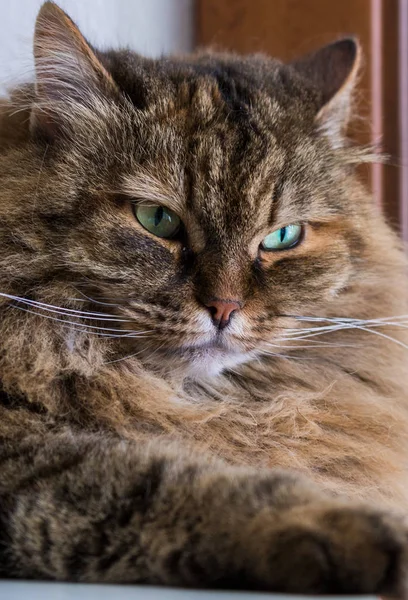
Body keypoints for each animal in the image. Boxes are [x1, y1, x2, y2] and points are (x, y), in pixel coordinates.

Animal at [0, 2, 408, 596]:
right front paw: (351, 528)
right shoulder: (29, 461)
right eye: (156, 219)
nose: (225, 309)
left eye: (282, 237)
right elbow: (172, 484)